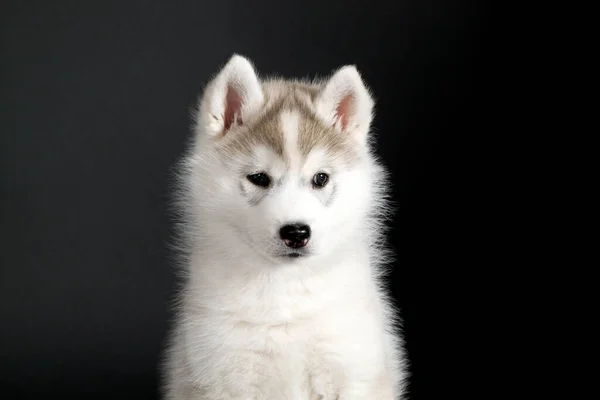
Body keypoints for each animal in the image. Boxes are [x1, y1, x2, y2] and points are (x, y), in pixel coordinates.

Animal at [163, 54, 408, 398]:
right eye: (259, 178)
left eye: (320, 178)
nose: (296, 232)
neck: (285, 288)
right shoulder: (226, 375)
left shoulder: (351, 369)